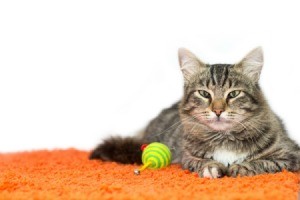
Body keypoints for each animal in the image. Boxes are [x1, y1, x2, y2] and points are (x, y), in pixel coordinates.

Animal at [90, 47, 300, 178]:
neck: (224, 138)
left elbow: (263, 162)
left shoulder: (291, 155)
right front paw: (212, 168)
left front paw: (240, 168)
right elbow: (201, 162)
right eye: (204, 94)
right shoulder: (187, 157)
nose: (217, 110)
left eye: (233, 94)